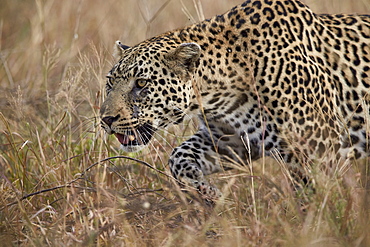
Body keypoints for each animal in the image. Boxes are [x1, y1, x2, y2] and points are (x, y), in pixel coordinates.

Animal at [99, 0, 370, 198]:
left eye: (141, 83)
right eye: (110, 82)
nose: (106, 119)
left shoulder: (318, 147)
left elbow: (315, 195)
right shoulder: (230, 139)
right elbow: (178, 157)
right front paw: (209, 194)